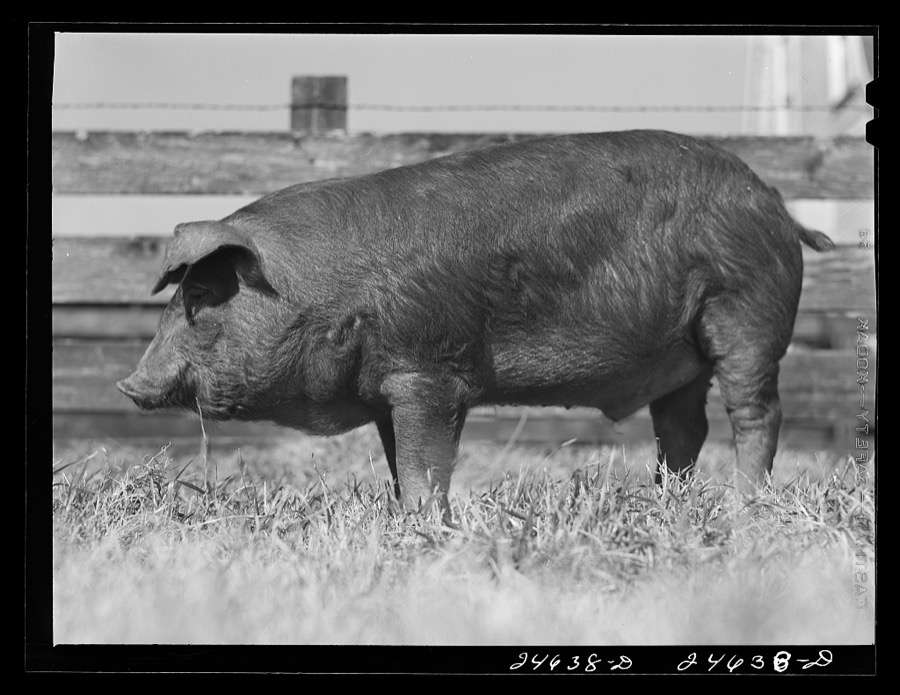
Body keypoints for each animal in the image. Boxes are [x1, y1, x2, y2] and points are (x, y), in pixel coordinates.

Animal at [117, 129, 834, 515]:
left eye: (201, 296)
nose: (129, 384)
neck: (320, 293)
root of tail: (776, 205)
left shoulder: (430, 372)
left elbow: (426, 462)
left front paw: (424, 524)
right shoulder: (388, 389)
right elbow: (400, 461)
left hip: (747, 314)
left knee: (755, 412)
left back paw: (745, 506)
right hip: (679, 357)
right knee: (684, 427)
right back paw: (664, 502)